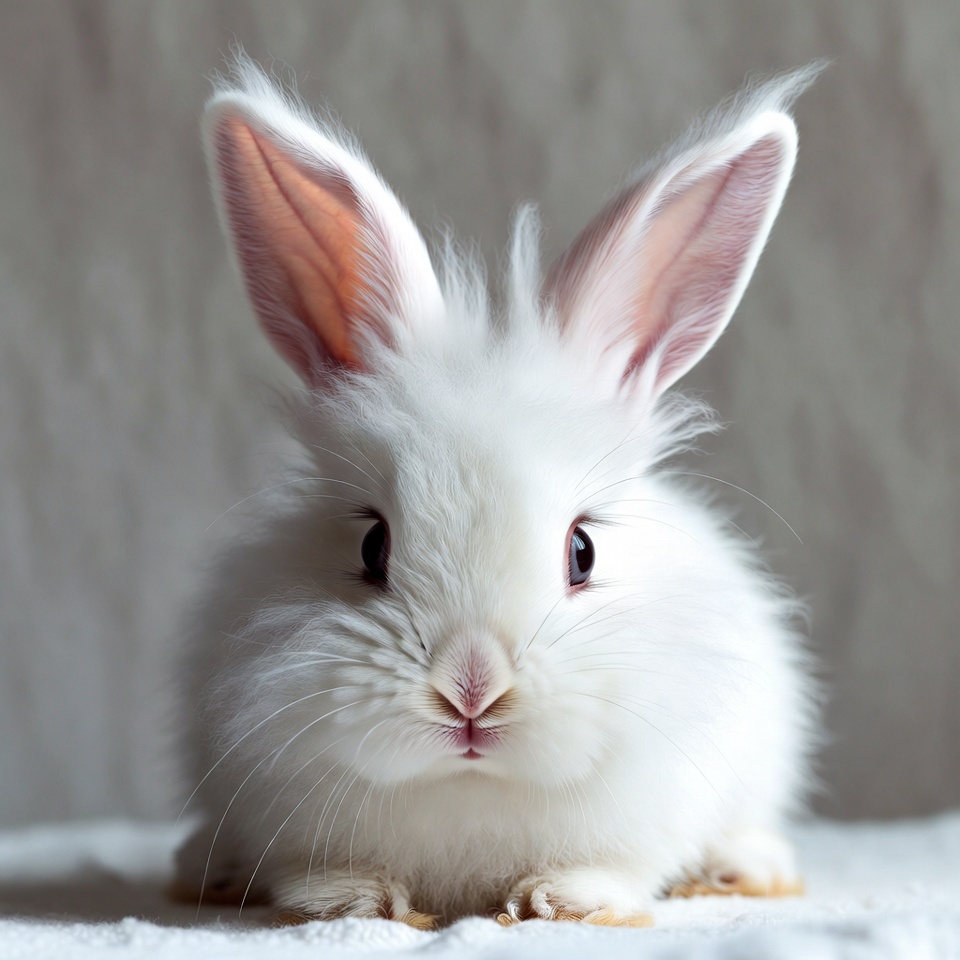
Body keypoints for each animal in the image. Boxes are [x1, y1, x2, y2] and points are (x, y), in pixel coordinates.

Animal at [174, 55, 822, 929]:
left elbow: (612, 866)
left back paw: (742, 870)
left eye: (583, 551)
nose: (471, 690)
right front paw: (354, 901)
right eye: (372, 545)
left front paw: (565, 900)